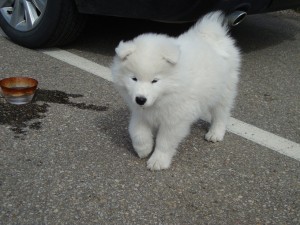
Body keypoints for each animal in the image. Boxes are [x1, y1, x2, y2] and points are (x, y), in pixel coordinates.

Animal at [111, 11, 240, 171]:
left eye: (155, 81)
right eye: (134, 78)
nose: (140, 99)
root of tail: (213, 35)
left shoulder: (174, 120)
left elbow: (164, 142)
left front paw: (158, 161)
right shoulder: (140, 113)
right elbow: (137, 131)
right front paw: (144, 149)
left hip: (224, 91)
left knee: (221, 114)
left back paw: (215, 133)